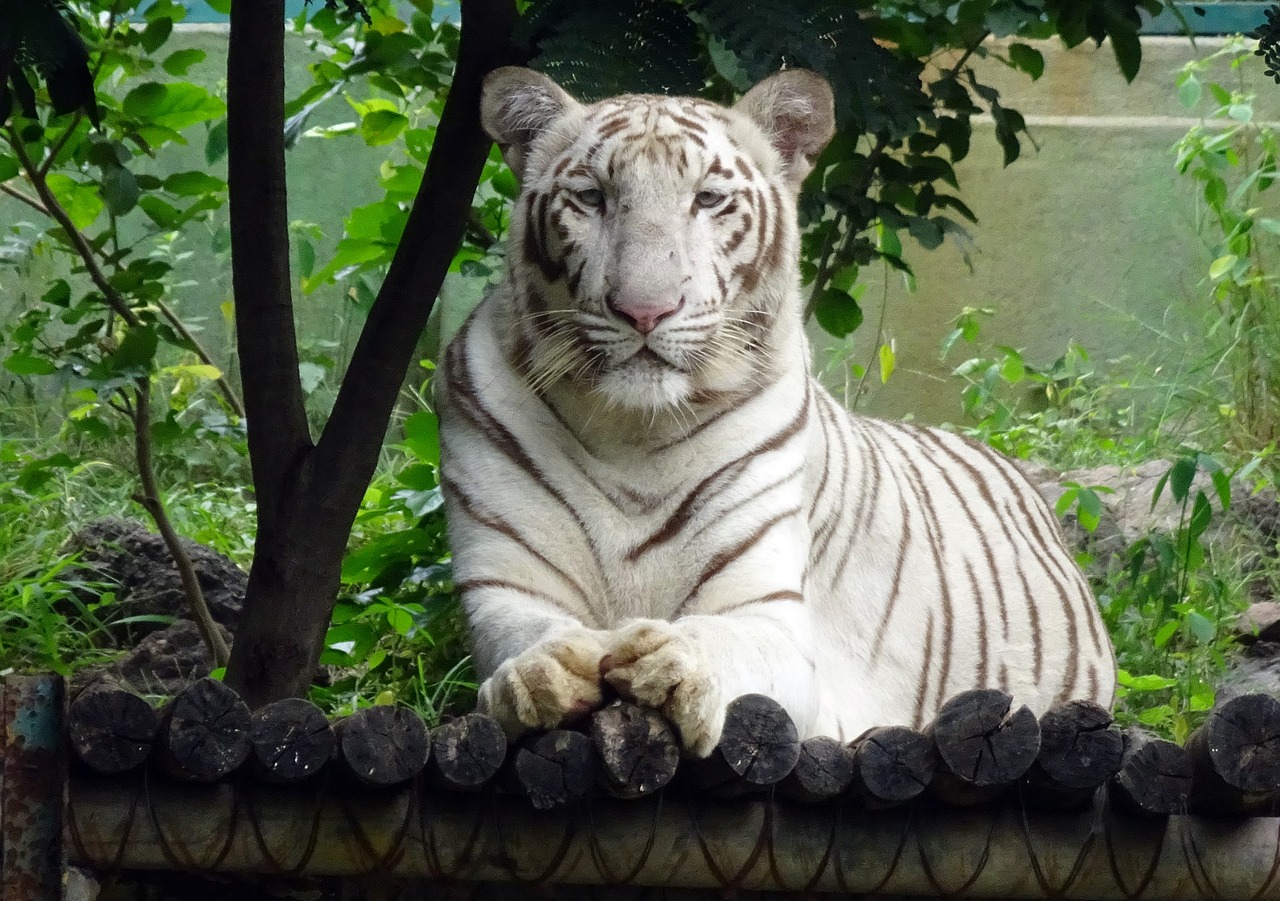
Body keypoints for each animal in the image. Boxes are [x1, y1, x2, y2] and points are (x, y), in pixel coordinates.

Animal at [435, 63, 1116, 757]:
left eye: (708, 199)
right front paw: (540, 673)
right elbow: (525, 640)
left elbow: (727, 640)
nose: (645, 310)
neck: (631, 432)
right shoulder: (501, 589)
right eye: (592, 198)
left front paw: (670, 660)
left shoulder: (769, 611)